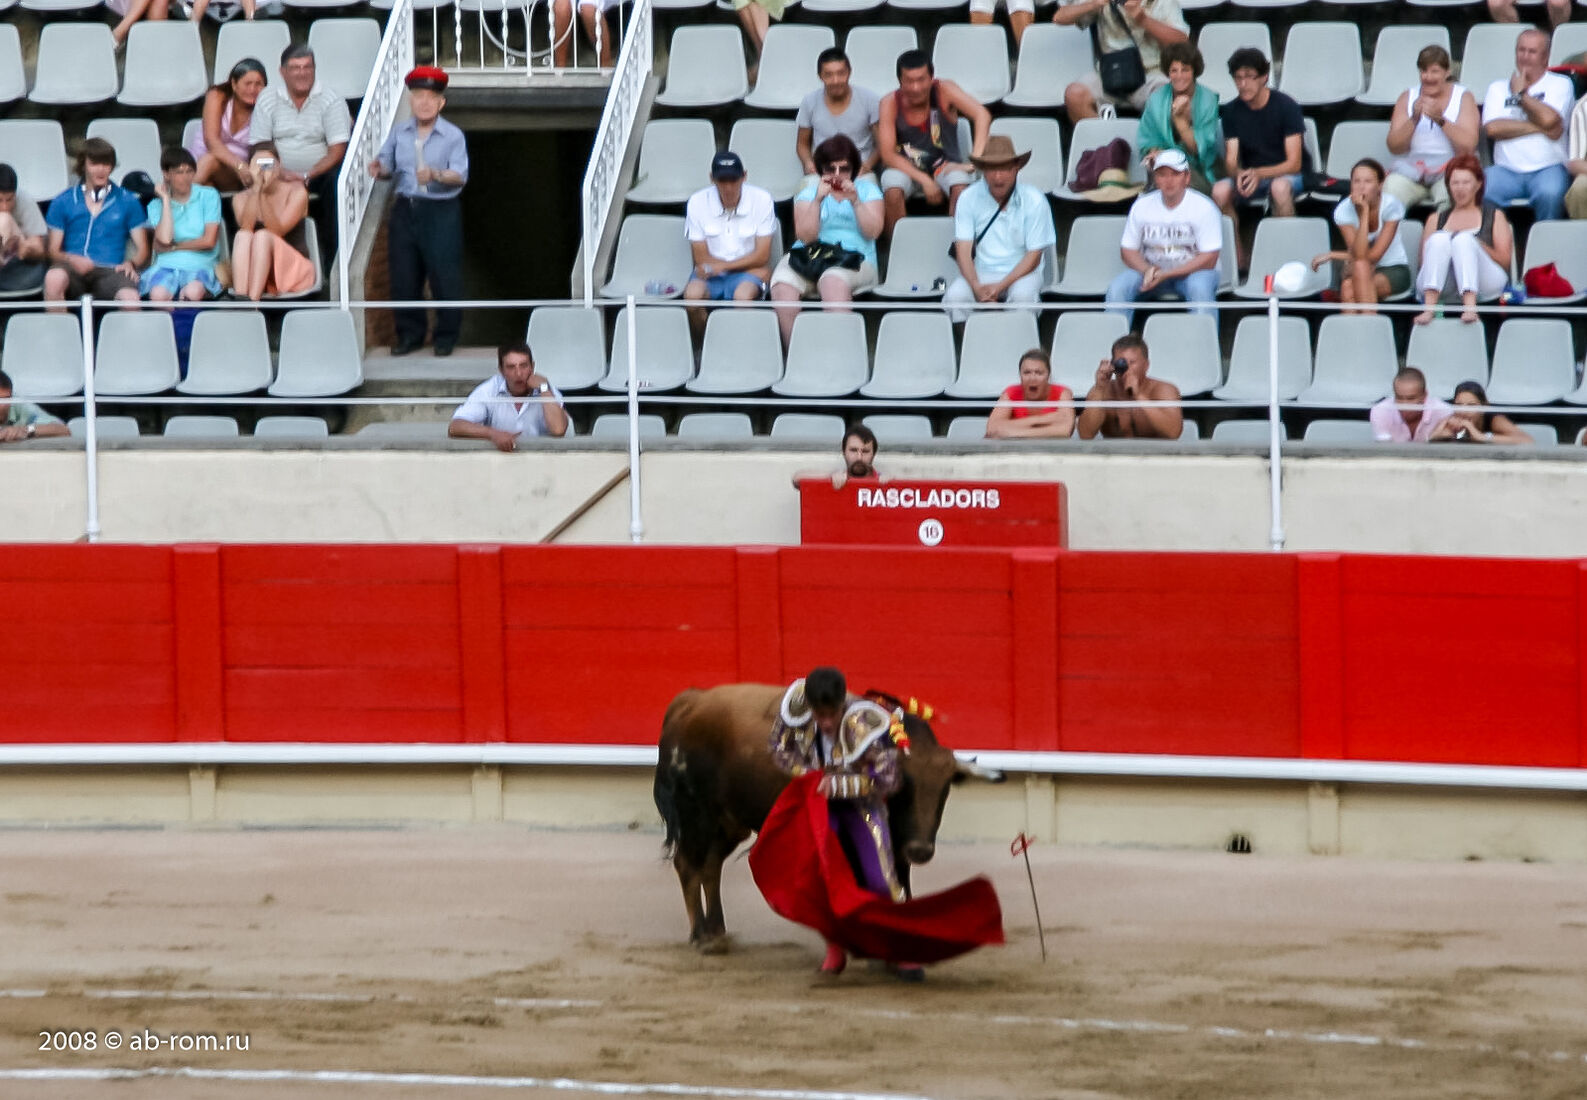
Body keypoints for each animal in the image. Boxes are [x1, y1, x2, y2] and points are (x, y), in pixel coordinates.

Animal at [653, 682, 1003, 953]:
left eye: (945, 788)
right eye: (904, 786)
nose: (920, 850)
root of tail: (690, 701)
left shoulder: (896, 846)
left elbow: (899, 888)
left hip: (728, 821)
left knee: (710, 866)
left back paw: (718, 932)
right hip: (695, 814)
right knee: (688, 864)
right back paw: (701, 936)